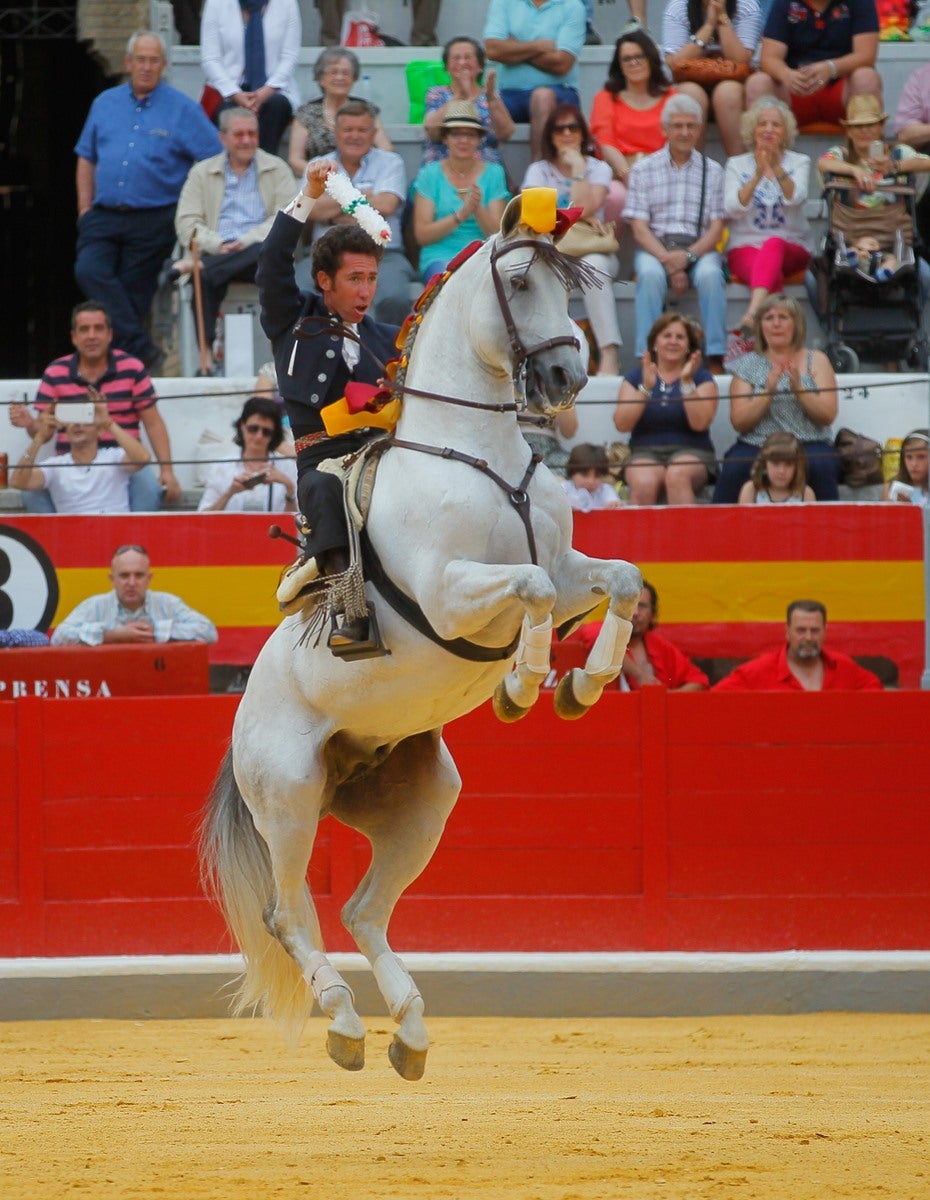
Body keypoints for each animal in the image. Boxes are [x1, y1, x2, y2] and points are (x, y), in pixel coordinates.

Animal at [200, 192, 643, 1084]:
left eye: (569, 284)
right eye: (520, 281)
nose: (567, 378)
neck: (479, 455)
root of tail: (239, 725)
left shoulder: (568, 565)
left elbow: (619, 577)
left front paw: (581, 686)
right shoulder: (448, 593)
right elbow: (531, 587)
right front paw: (520, 685)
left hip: (423, 800)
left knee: (364, 908)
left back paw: (407, 1030)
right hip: (288, 794)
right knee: (286, 913)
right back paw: (344, 1022)